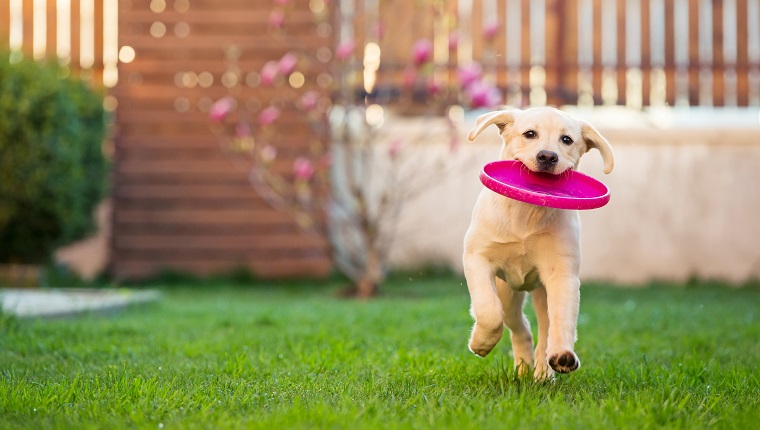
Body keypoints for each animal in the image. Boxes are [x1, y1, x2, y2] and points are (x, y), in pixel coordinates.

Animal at [464, 107, 612, 380]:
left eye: (566, 140)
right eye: (530, 134)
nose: (547, 156)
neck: (527, 212)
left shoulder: (562, 274)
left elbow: (563, 319)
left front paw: (563, 355)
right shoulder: (477, 258)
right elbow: (489, 312)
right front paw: (481, 343)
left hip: (542, 293)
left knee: (544, 330)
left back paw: (544, 371)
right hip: (507, 293)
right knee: (519, 326)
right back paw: (523, 369)